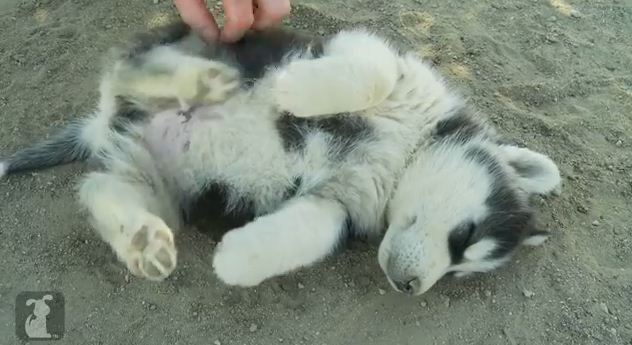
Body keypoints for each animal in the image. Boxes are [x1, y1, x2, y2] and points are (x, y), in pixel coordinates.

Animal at [0, 21, 564, 294]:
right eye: (465, 237)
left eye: (459, 274)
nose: (409, 289)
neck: (407, 150)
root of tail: (107, 123)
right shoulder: (371, 55)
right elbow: (374, 72)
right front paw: (297, 90)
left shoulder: (339, 204)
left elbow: (313, 232)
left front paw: (236, 260)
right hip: (203, 41)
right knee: (132, 66)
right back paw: (198, 80)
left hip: (156, 183)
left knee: (101, 189)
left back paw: (142, 241)